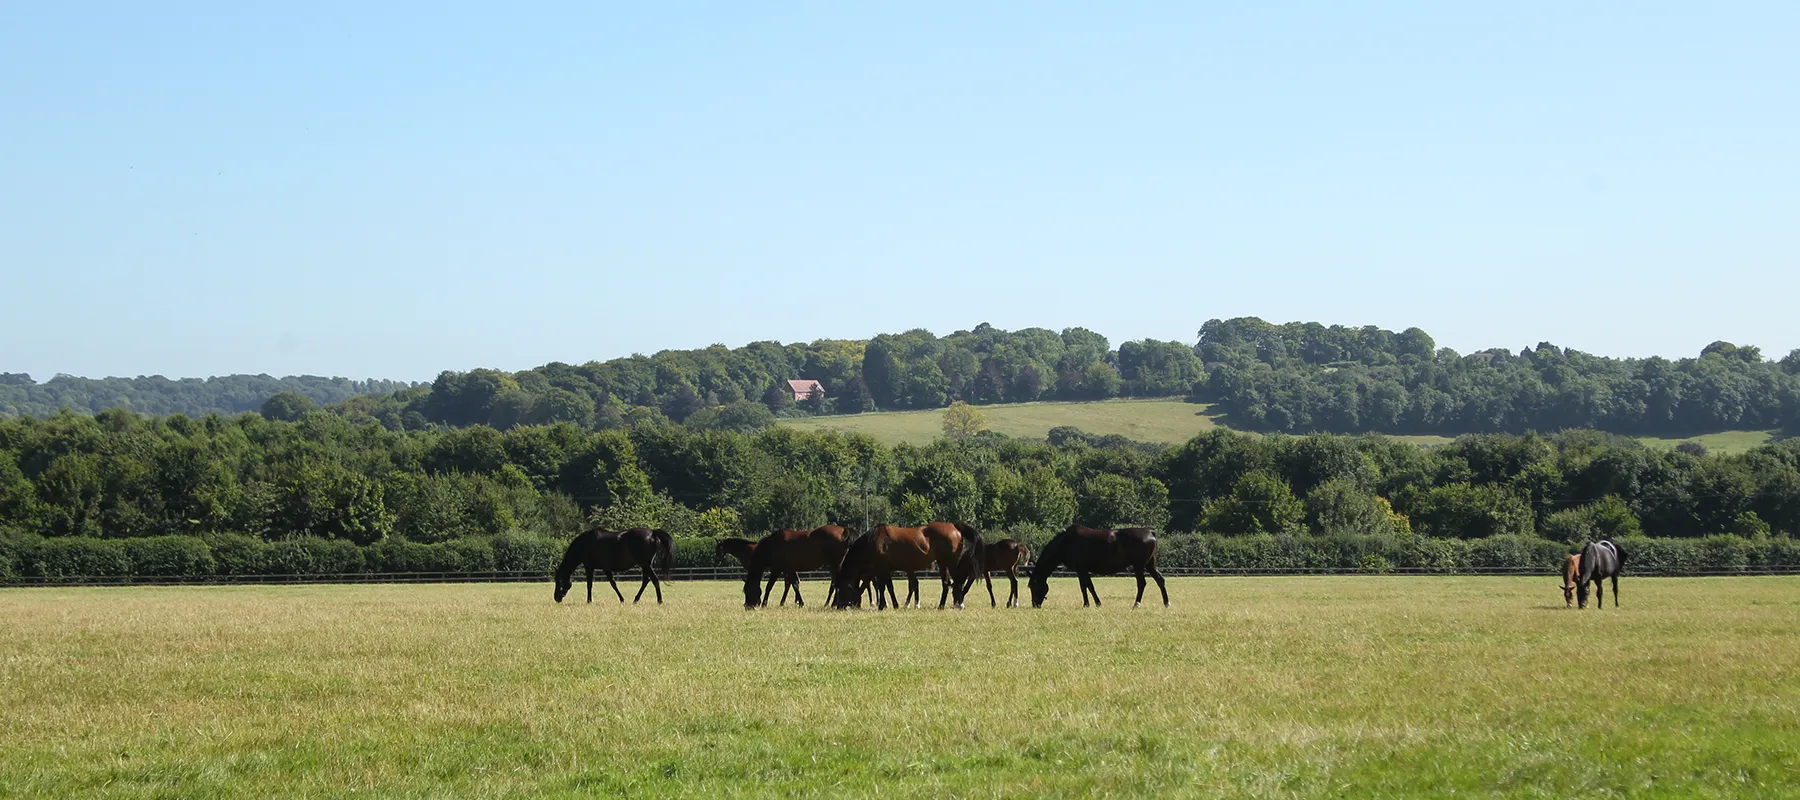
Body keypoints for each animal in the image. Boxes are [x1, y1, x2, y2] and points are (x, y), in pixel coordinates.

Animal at [832, 522, 981, 610]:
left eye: (842, 588)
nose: (839, 606)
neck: (873, 541)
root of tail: (954, 526)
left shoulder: (882, 569)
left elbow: (885, 587)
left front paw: (887, 605)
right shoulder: (882, 570)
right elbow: (886, 587)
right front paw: (888, 605)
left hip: (950, 562)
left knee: (958, 582)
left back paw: (959, 604)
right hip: (943, 563)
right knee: (946, 583)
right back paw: (942, 605)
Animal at [1028, 525, 1167, 608]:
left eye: (1034, 586)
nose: (1035, 605)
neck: (1066, 542)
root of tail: (1150, 532)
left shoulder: (1082, 569)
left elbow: (1089, 586)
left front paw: (1097, 603)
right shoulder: (1080, 570)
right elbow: (1083, 587)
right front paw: (1086, 604)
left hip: (1139, 566)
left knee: (1142, 583)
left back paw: (1136, 604)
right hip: (1150, 565)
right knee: (1160, 580)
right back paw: (1166, 603)